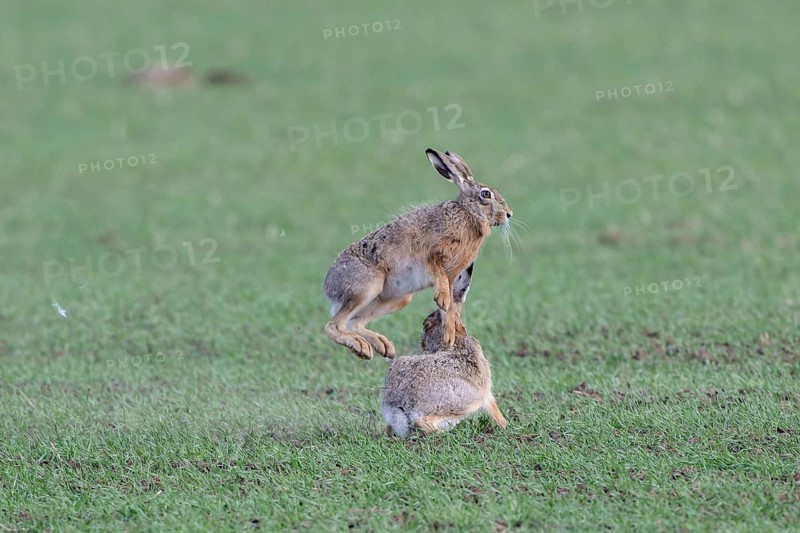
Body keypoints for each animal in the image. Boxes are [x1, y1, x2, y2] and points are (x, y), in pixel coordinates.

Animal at [323, 148, 513, 360]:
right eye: (486, 194)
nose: (508, 214)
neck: (468, 214)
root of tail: (328, 286)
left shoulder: (453, 275)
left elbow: (450, 308)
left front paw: (450, 336)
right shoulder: (432, 254)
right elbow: (441, 282)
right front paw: (444, 311)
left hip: (396, 298)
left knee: (353, 322)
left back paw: (382, 346)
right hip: (368, 285)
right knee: (333, 325)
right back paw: (360, 346)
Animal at [382, 308, 507, 438]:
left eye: (426, 326)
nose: (421, 344)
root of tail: (397, 405)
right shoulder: (486, 393)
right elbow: (493, 407)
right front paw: (505, 426)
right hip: (466, 399)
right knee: (421, 421)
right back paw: (447, 434)